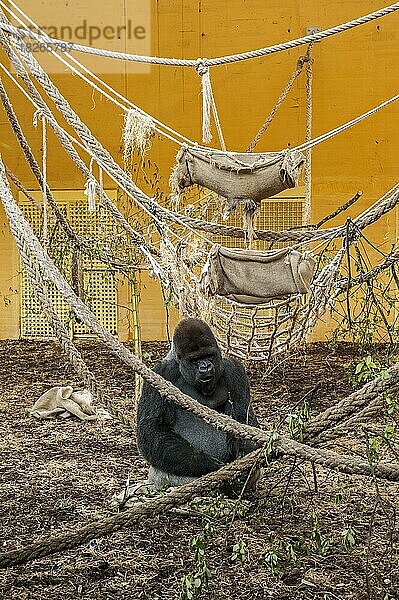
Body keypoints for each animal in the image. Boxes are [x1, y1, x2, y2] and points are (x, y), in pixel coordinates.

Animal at [137, 316, 260, 490]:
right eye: (195, 360)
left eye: (208, 356)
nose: (205, 366)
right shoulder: (161, 374)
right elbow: (152, 427)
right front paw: (206, 463)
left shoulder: (235, 371)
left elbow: (243, 419)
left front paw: (245, 454)